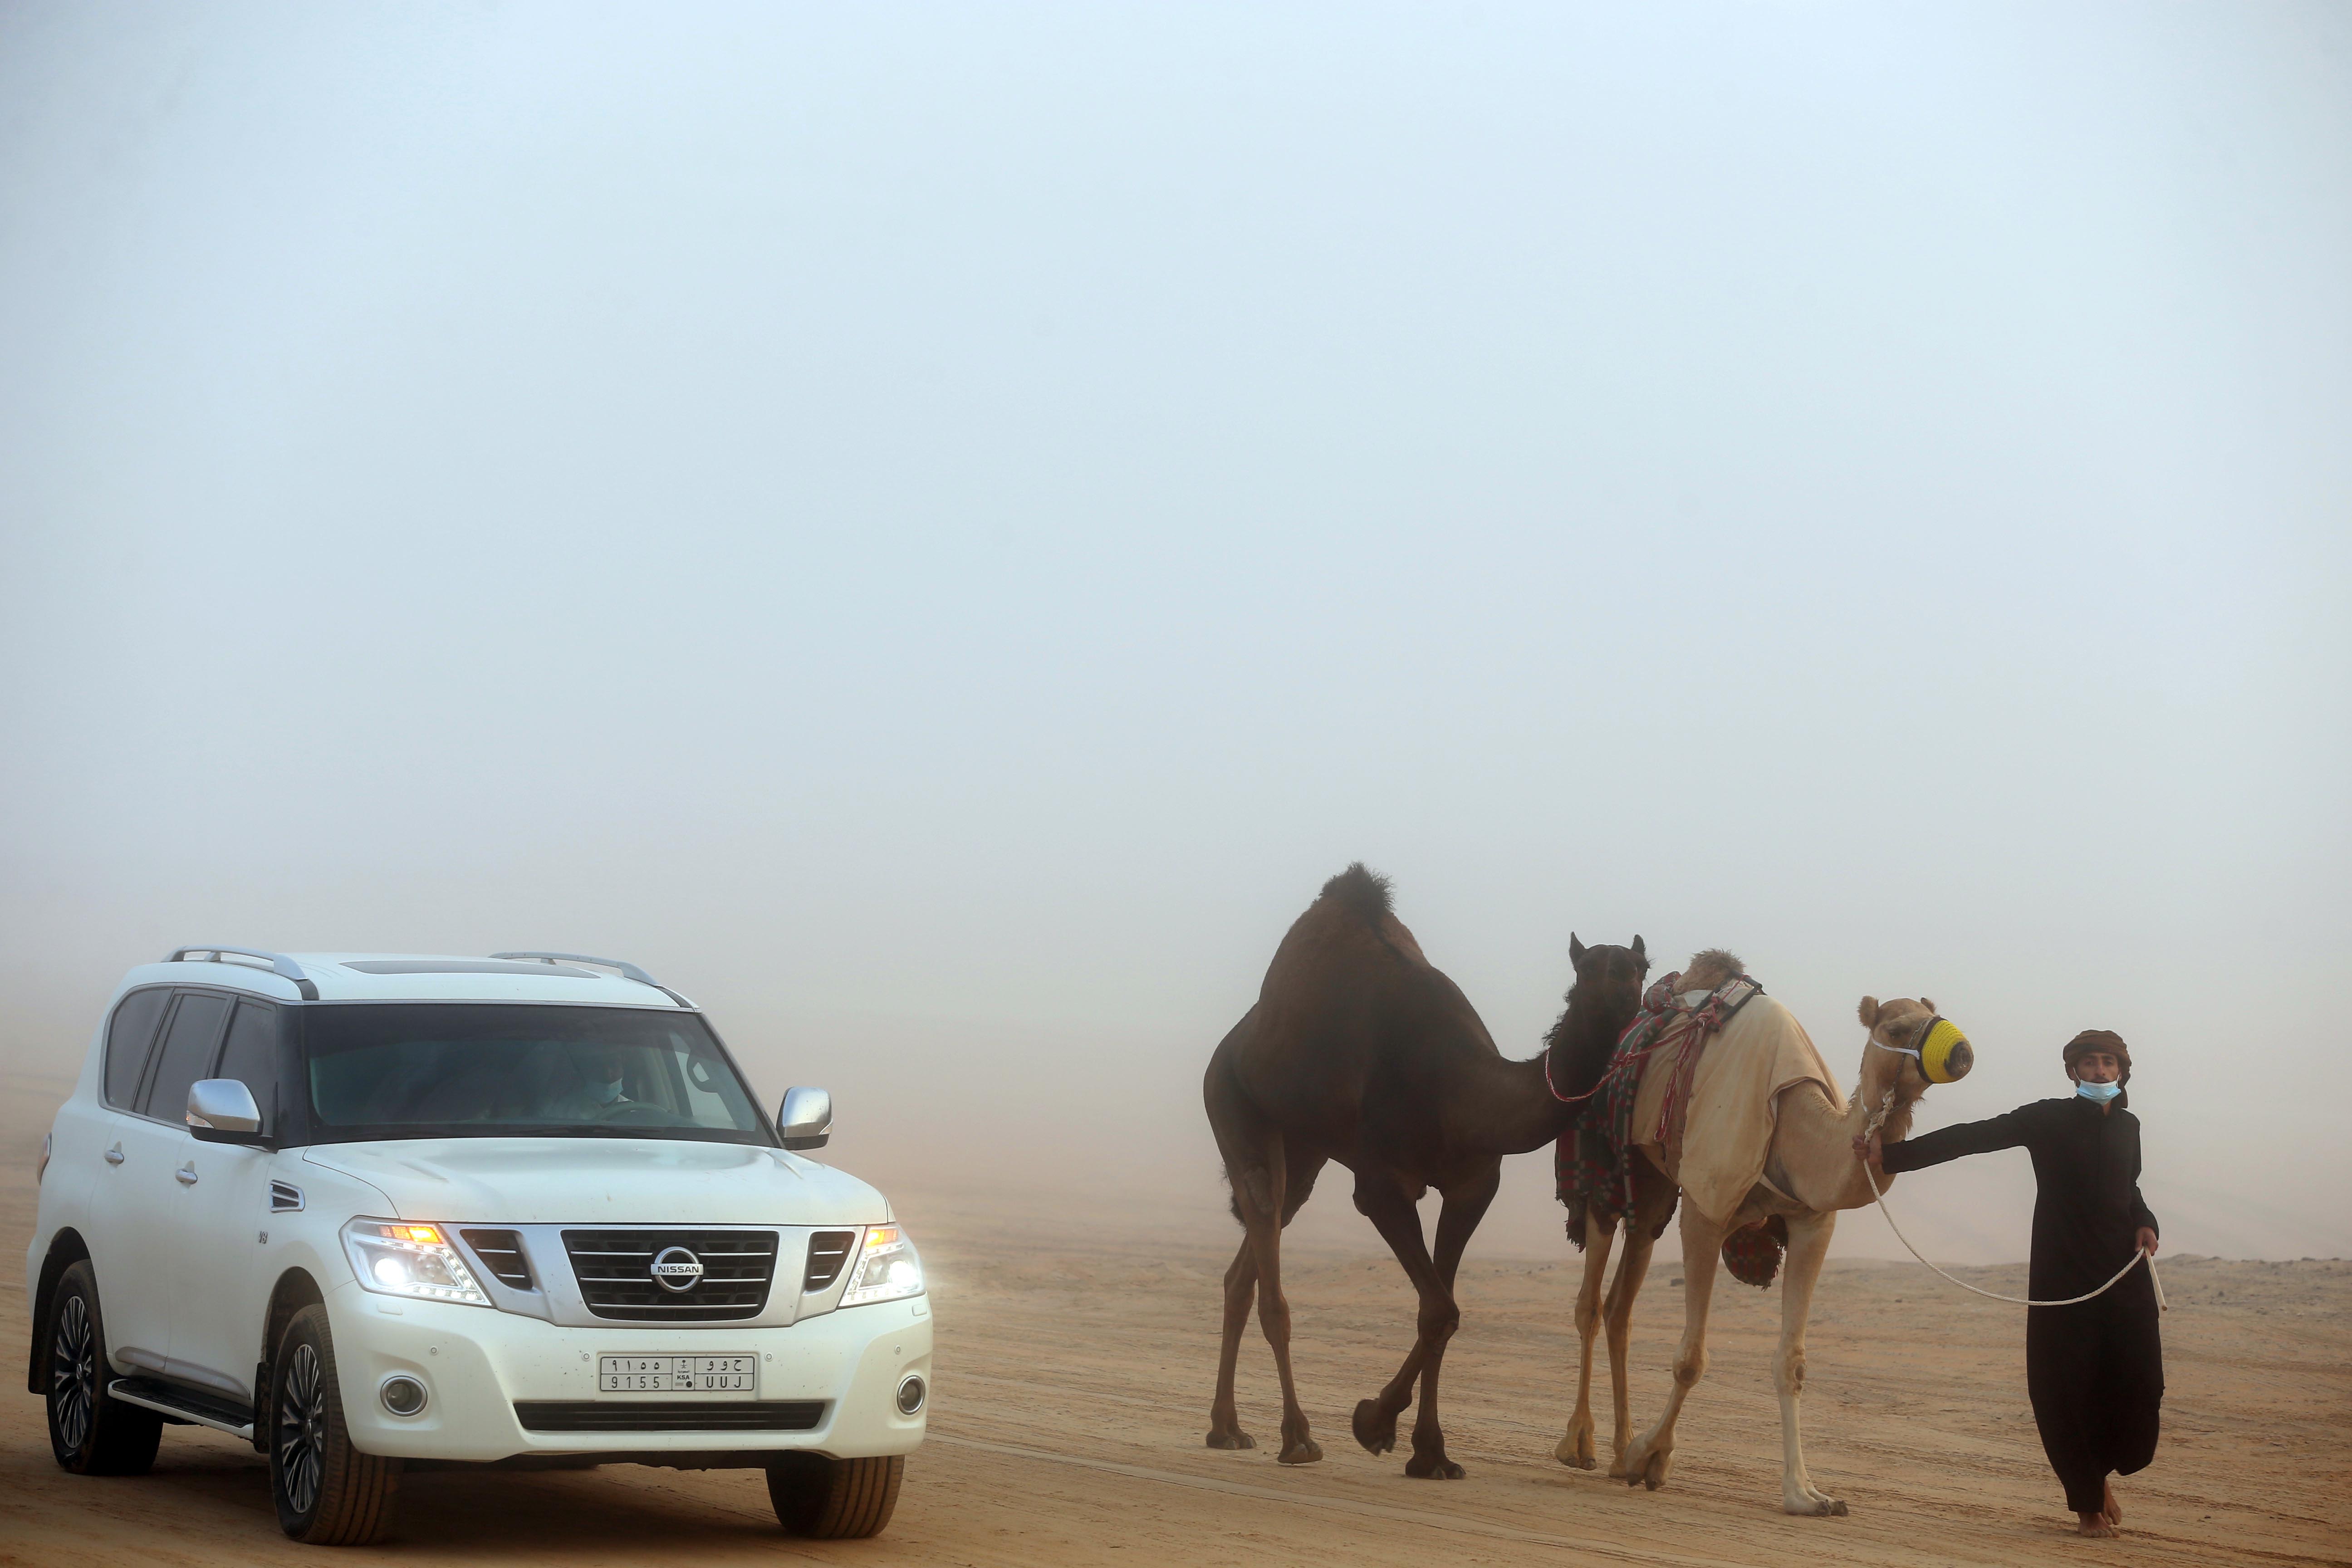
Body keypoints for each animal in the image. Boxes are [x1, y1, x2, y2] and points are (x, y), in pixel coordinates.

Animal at [1204, 865, 1646, 1476]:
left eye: (1640, 967)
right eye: (1587, 969)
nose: (1625, 994)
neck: (1460, 1090)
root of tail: (1233, 1042)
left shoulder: (1472, 1186)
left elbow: (1442, 1310)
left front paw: (1430, 1452)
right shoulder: (1382, 1188)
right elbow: (1439, 1307)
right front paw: (1373, 1423)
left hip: (1305, 1150)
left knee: (1251, 1255)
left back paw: (1226, 1427)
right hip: (1231, 1101)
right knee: (1265, 1231)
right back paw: (1296, 1438)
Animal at [1543, 959, 1966, 1523]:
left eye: (1934, 1016)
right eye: (1897, 1029)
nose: (1961, 1052)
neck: (1795, 1129)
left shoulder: (1813, 1223)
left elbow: (1793, 1363)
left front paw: (1807, 1494)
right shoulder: (1706, 1207)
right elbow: (1691, 1360)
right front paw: (1650, 1458)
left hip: (1652, 1191)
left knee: (1620, 1308)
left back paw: (1615, 1449)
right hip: (1604, 1164)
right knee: (1590, 1303)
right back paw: (1580, 1445)